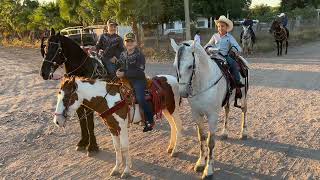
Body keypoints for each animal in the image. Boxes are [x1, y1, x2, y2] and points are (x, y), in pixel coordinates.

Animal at [39, 28, 107, 156]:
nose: (43, 73)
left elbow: (90, 123)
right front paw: (83, 142)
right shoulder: (76, 102)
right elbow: (82, 122)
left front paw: (92, 146)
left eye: (56, 49)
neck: (82, 70)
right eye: (45, 48)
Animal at [53, 75, 182, 178]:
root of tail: (173, 79)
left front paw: (126, 171)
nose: (57, 121)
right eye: (58, 97)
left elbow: (124, 147)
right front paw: (116, 168)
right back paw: (171, 147)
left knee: (178, 127)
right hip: (165, 110)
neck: (108, 100)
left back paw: (175, 150)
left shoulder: (122, 127)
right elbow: (116, 147)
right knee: (172, 126)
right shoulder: (112, 128)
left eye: (65, 98)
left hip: (173, 109)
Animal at [171, 39, 249, 179]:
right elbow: (201, 138)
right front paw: (201, 163)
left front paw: (208, 170)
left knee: (244, 111)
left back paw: (244, 132)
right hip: (227, 100)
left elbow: (210, 142)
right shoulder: (197, 114)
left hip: (244, 95)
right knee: (227, 111)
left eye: (190, 66)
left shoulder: (212, 116)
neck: (204, 83)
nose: (183, 92)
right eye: (175, 66)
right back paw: (224, 133)